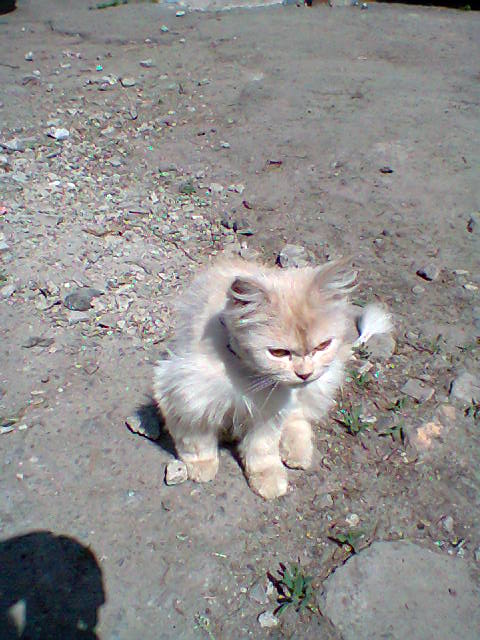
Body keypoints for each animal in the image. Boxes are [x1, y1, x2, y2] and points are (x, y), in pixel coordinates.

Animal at [153, 256, 391, 499]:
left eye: (322, 346)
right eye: (278, 353)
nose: (304, 373)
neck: (247, 373)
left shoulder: (269, 411)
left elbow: (262, 449)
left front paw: (267, 478)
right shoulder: (183, 395)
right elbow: (196, 440)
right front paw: (202, 466)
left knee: (298, 417)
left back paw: (297, 452)